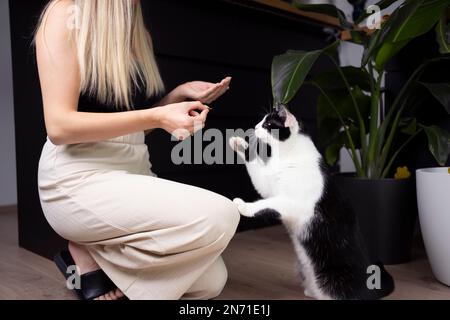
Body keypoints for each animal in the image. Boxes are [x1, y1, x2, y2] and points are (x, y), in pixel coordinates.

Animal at [230, 105, 396, 300]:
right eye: (263, 120)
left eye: (268, 124)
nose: (255, 127)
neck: (285, 157)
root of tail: (374, 288)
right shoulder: (268, 186)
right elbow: (257, 171)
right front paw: (239, 144)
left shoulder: (292, 203)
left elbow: (264, 204)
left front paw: (243, 205)